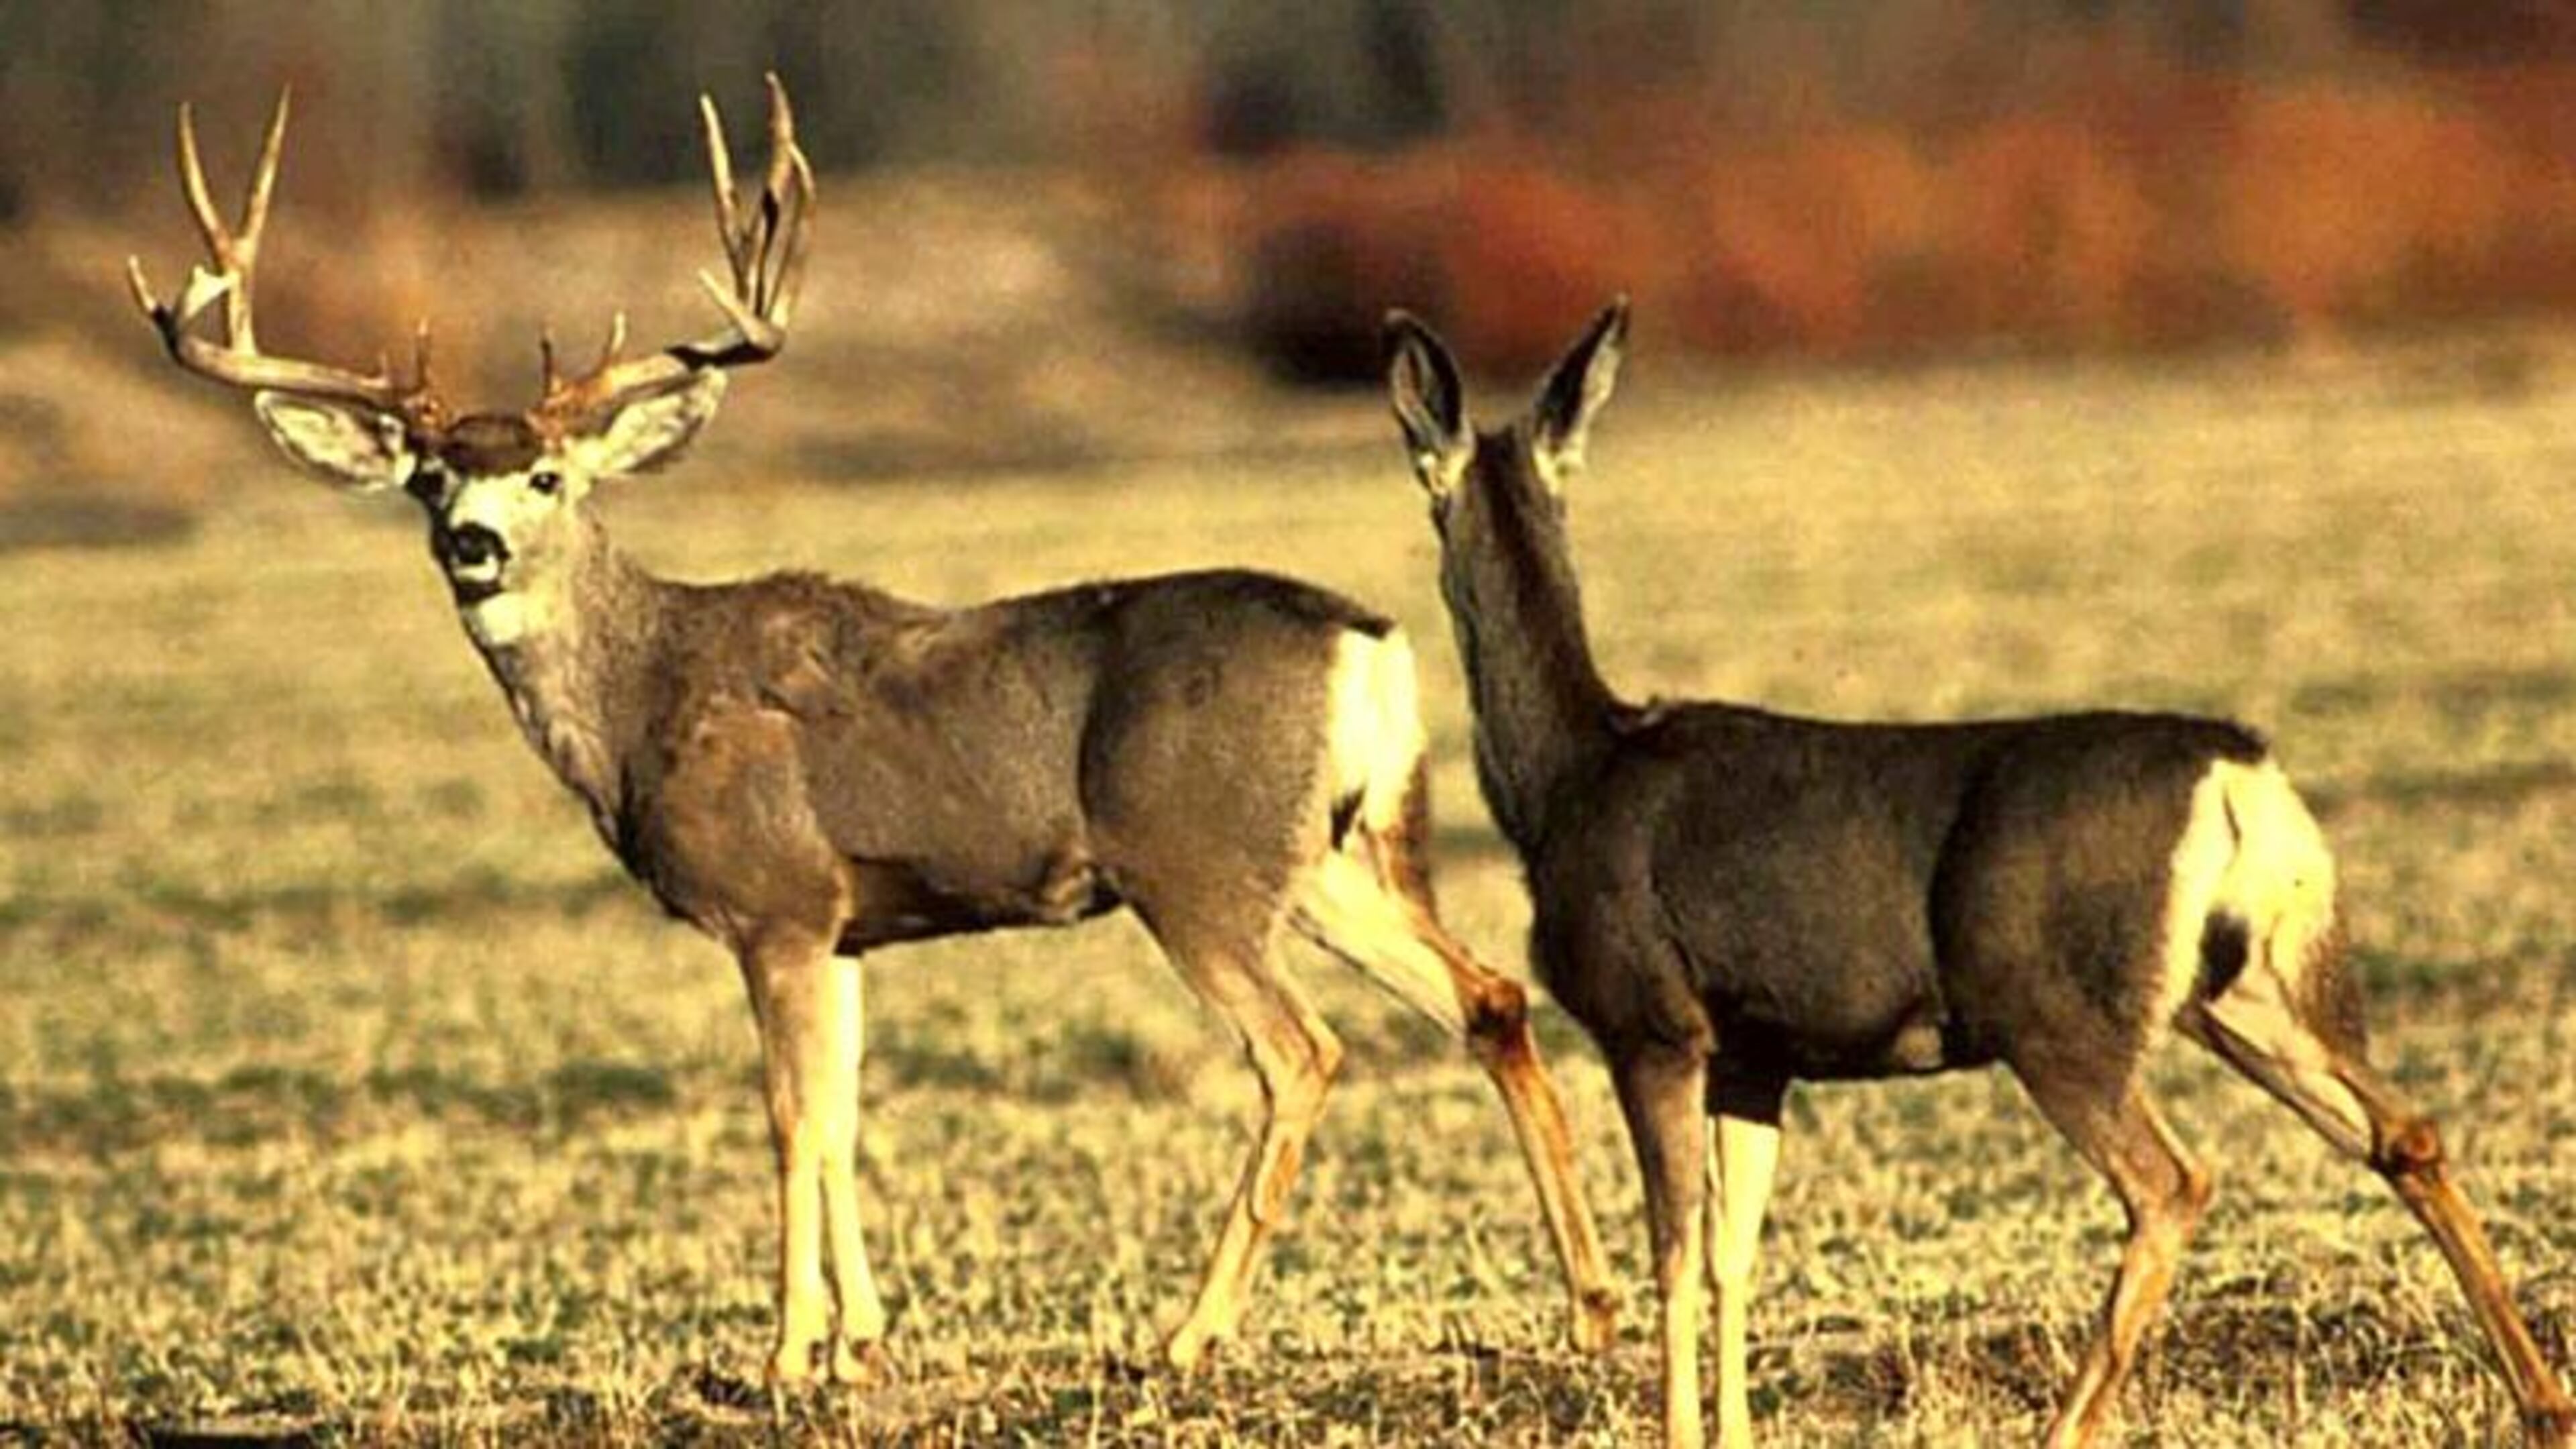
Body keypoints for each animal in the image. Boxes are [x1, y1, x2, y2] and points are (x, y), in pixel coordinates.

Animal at [125, 78, 1623, 1390]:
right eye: (431, 478)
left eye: (546, 473)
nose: (475, 545)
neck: (645, 699)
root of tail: (1366, 646)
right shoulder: (848, 927)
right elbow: (846, 1119)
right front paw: (865, 1341)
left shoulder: (776, 901)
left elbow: (791, 1119)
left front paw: (786, 1355)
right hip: (1331, 857)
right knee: (1489, 997)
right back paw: (1591, 1302)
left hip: (1196, 865)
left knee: (1302, 1054)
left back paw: (1189, 1336)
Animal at [1381, 298, 2576, 1449]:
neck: (1569, 777)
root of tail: (2242, 776)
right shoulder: (1757, 1051)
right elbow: (1734, 1256)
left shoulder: (1651, 1019)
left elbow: (1675, 1254)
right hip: (2252, 988)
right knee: (2402, 1131)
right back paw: (2543, 1404)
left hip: (2055, 1007)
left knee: (2172, 1184)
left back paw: (2067, 1425)